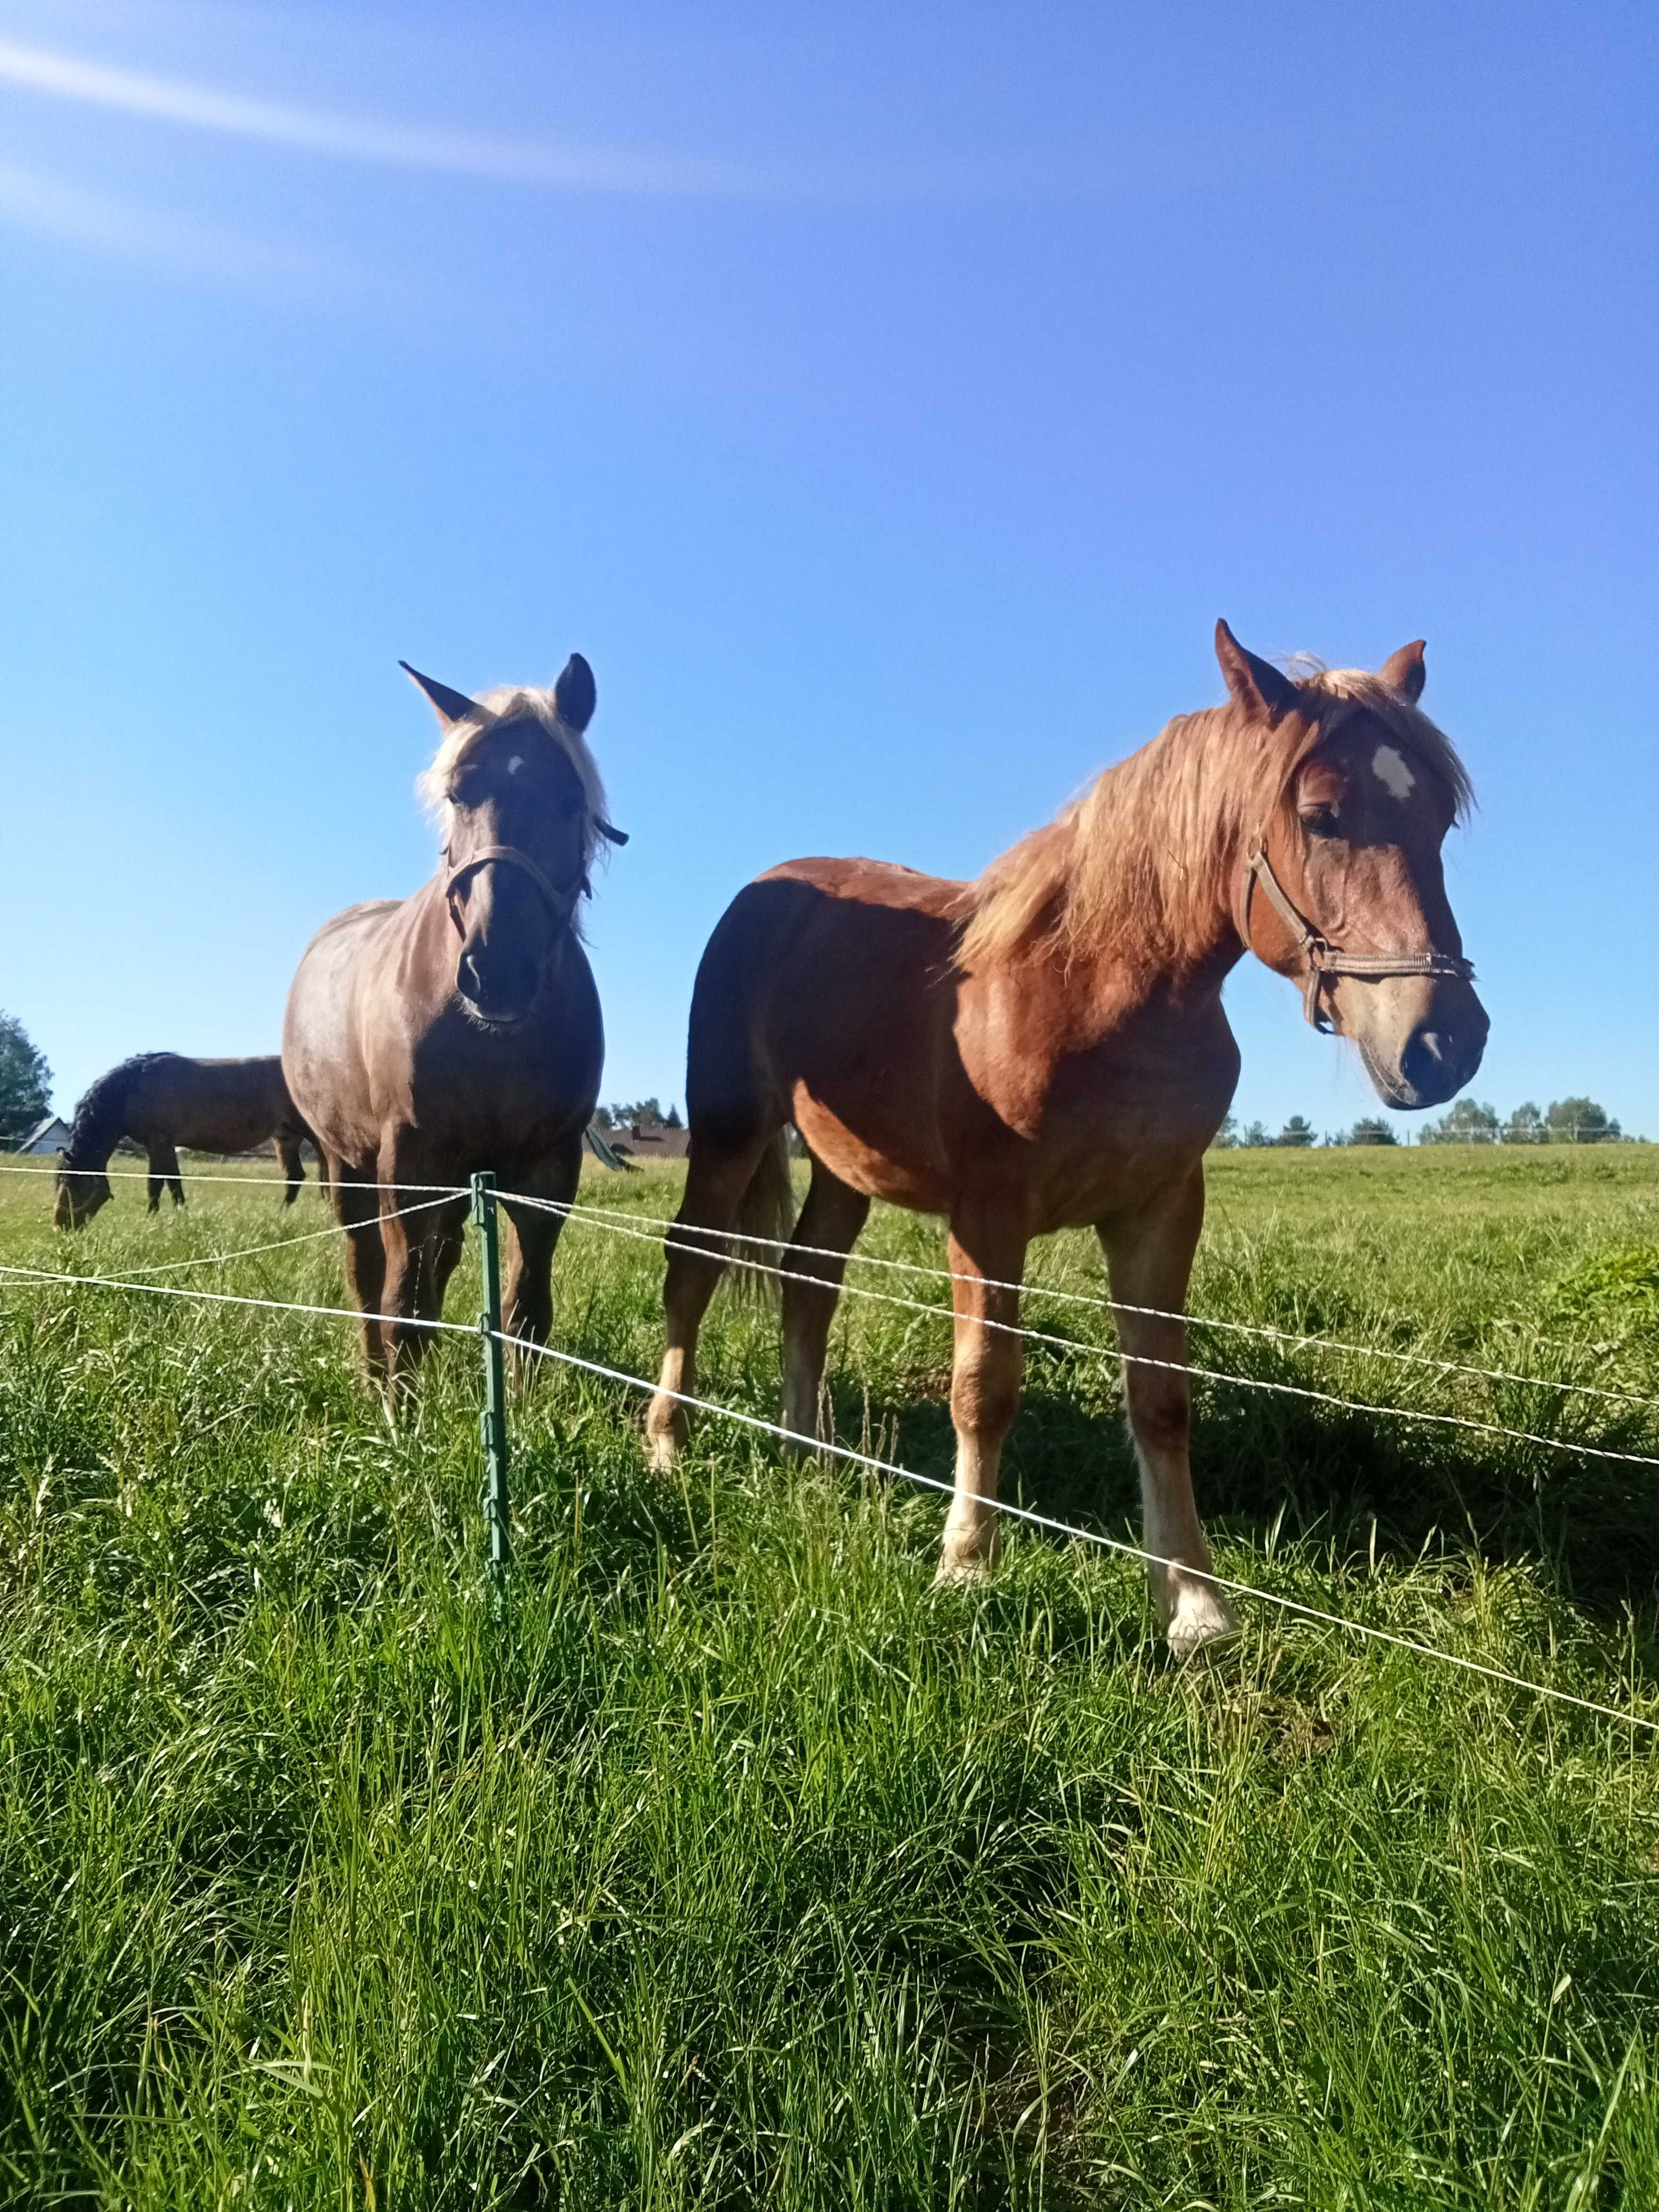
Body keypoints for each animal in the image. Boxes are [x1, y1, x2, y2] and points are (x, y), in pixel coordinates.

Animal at [54, 1053, 314, 1229]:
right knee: (294, 1176)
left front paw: (152, 1219)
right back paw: (280, 1216)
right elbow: (172, 1181)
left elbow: (156, 1183)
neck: (133, 1088)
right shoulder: (163, 1145)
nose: (60, 1226)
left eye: (71, 1185)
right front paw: (180, 1216)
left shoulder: (159, 1141)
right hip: (286, 1138)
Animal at [283, 646, 628, 1389]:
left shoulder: (548, 1167)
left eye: (571, 799)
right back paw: (371, 1372)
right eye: (457, 795)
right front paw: (397, 1406)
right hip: (343, 1161)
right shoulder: (408, 1159)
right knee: (366, 1269)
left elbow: (526, 1307)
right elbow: (401, 1302)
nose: (497, 969)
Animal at [650, 632, 1495, 1654]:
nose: (1444, 1043)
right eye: (1321, 816)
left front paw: (1196, 1606)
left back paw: (809, 1456)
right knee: (692, 1267)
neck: (1096, 986)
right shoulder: (987, 1217)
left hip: (845, 1171)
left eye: (1440, 823)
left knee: (808, 1284)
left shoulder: (1159, 1211)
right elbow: (985, 1385)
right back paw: (667, 1447)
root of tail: (765, 896)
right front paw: (966, 1567)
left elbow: (1162, 1398)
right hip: (729, 1131)